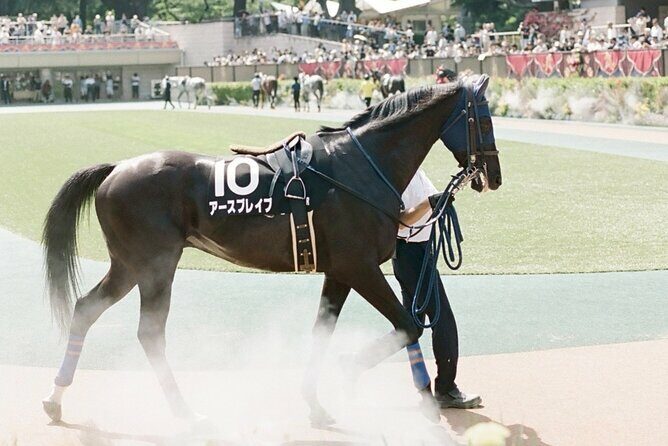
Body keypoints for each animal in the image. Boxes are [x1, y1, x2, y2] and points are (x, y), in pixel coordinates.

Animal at [41, 75, 502, 427]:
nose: (494, 176)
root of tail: (115, 168)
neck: (360, 167)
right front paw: (365, 377)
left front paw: (316, 403)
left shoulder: (339, 271)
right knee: (150, 333)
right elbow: (408, 325)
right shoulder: (360, 266)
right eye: (483, 119)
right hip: (154, 266)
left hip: (128, 265)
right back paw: (183, 411)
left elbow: (322, 333)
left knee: (86, 309)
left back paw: (56, 399)